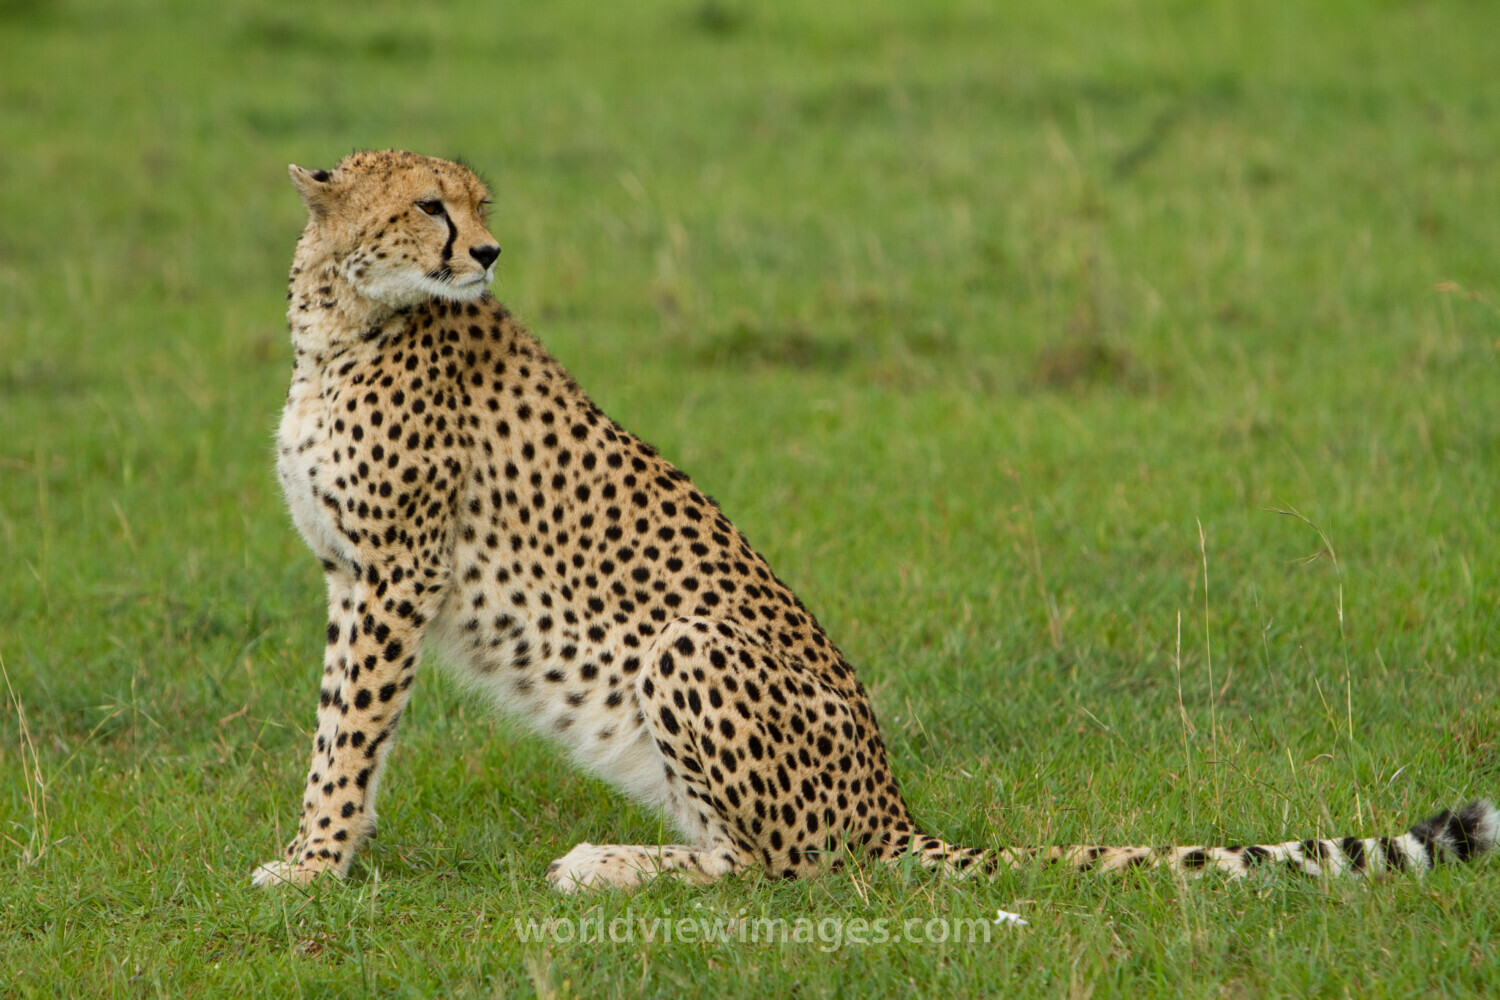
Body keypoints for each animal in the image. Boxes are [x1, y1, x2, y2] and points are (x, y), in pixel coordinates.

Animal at [251, 150, 1496, 893]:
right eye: (430, 204)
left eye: (478, 205)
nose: (489, 251)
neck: (340, 320)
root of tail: (889, 801)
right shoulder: (354, 574)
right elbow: (343, 722)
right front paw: (330, 851)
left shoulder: (393, 571)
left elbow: (347, 731)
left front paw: (310, 865)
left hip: (690, 643)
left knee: (784, 869)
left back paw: (607, 863)